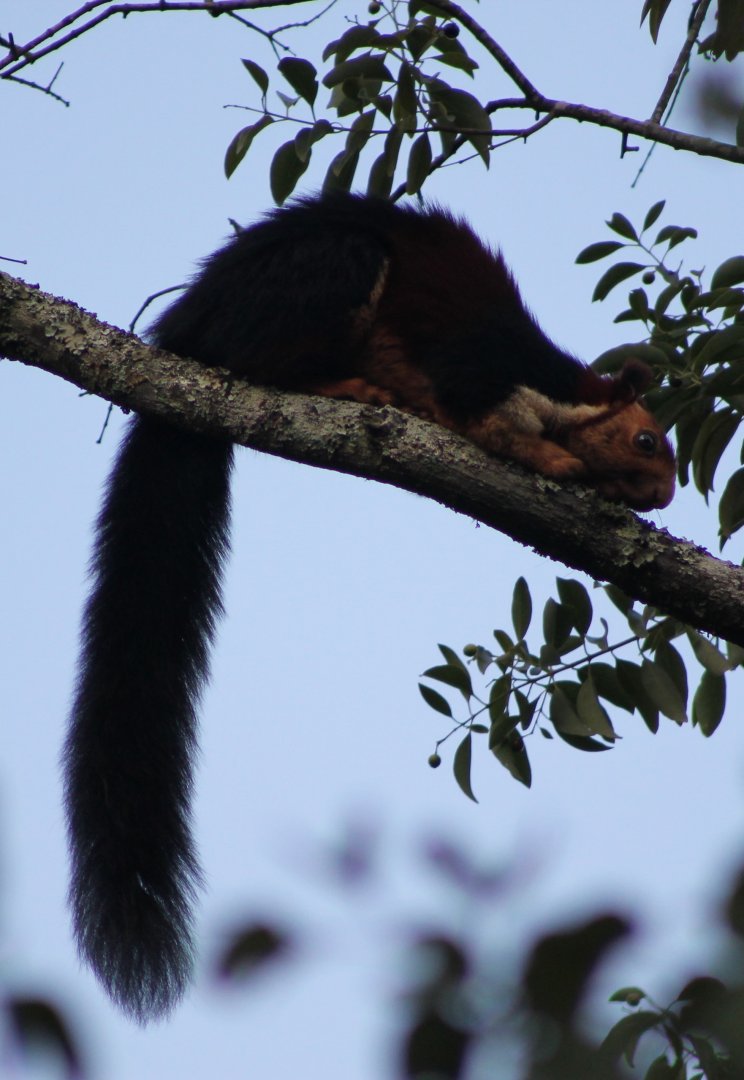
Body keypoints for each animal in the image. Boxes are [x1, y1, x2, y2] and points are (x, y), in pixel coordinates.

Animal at [63, 193, 676, 1022]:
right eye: (646, 441)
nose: (666, 496)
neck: (553, 388)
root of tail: (182, 334)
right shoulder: (477, 366)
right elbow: (482, 419)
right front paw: (554, 459)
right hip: (322, 277)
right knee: (257, 363)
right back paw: (349, 389)